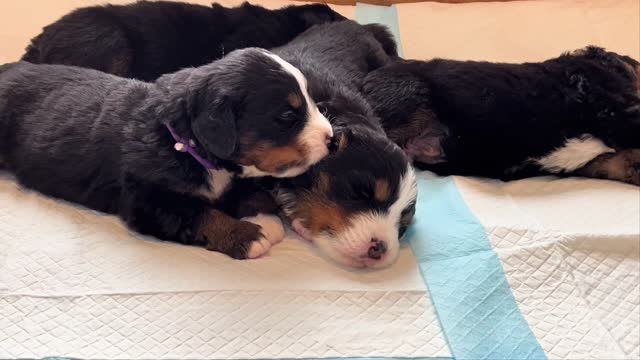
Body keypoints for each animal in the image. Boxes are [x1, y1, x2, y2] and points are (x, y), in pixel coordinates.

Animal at [0, 47, 330, 260]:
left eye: (314, 102)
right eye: (287, 115)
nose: (330, 138)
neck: (182, 142)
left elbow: (249, 193)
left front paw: (264, 216)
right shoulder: (147, 200)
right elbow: (199, 212)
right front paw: (248, 235)